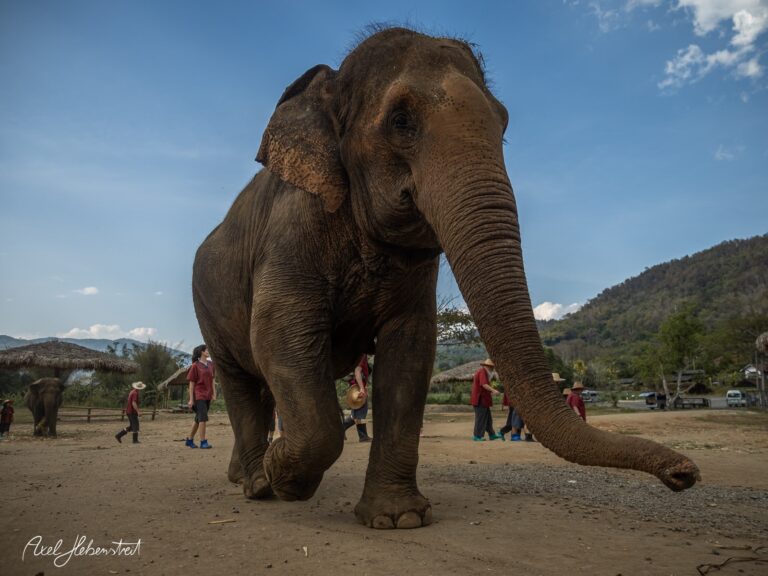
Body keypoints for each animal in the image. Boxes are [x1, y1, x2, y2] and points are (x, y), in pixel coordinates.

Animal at [192, 26, 699, 529]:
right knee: (238, 378)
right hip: (206, 305)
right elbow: (279, 331)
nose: (685, 473)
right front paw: (286, 477)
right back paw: (257, 484)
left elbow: (411, 350)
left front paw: (398, 519)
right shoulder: (292, 229)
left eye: (503, 124)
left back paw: (248, 475)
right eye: (401, 121)